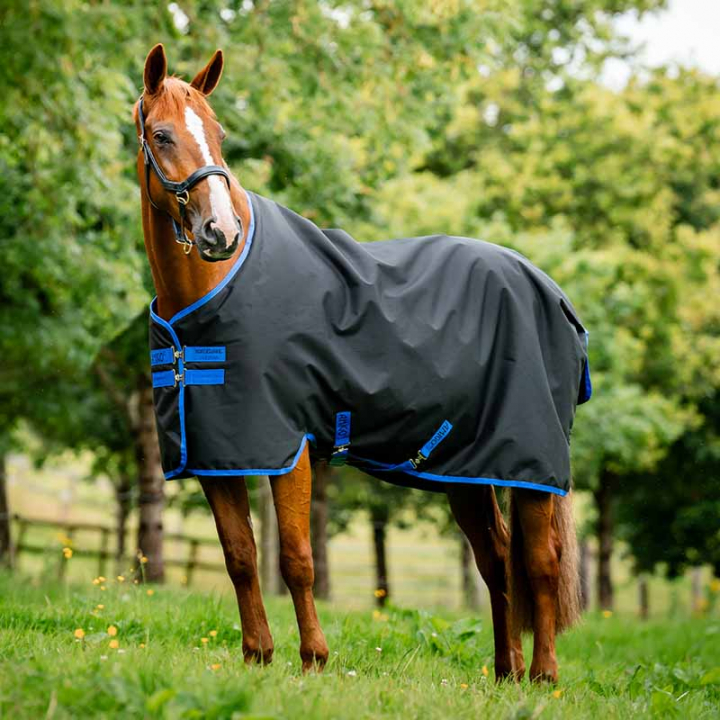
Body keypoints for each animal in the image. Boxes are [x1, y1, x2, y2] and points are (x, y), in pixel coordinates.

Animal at [135, 43, 584, 683]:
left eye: (219, 134)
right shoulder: (218, 452)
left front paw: (313, 659)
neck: (212, 292)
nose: (221, 231)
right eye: (163, 134)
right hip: (466, 469)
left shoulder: (288, 447)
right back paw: (505, 672)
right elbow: (240, 556)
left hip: (531, 466)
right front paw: (257, 656)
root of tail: (553, 292)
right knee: (496, 559)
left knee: (541, 562)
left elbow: (296, 558)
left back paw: (543, 677)